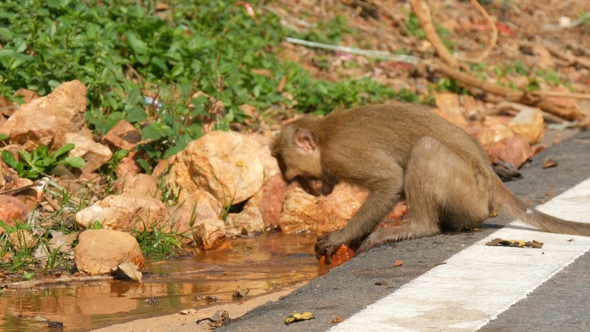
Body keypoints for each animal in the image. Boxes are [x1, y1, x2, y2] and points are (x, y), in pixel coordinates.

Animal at [274, 104, 590, 264]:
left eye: (300, 177)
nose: (310, 190)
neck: (325, 135)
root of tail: (490, 179)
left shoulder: (342, 155)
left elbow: (390, 180)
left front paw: (341, 236)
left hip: (468, 196)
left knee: (425, 149)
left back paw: (416, 227)